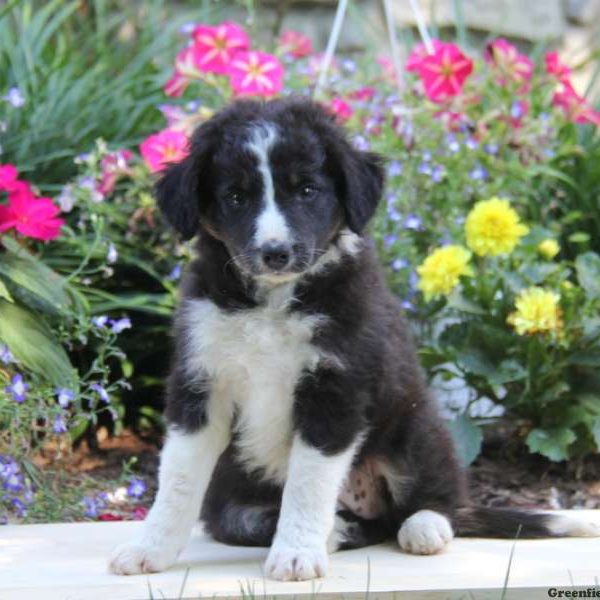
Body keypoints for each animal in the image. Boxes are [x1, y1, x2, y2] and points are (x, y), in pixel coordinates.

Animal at [110, 98, 596, 580]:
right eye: (235, 197)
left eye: (307, 191)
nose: (275, 253)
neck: (272, 301)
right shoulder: (200, 381)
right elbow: (178, 478)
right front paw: (148, 550)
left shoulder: (336, 387)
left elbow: (308, 482)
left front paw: (296, 555)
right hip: (234, 483)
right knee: (251, 519)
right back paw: (337, 530)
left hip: (414, 426)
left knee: (435, 502)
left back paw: (422, 527)